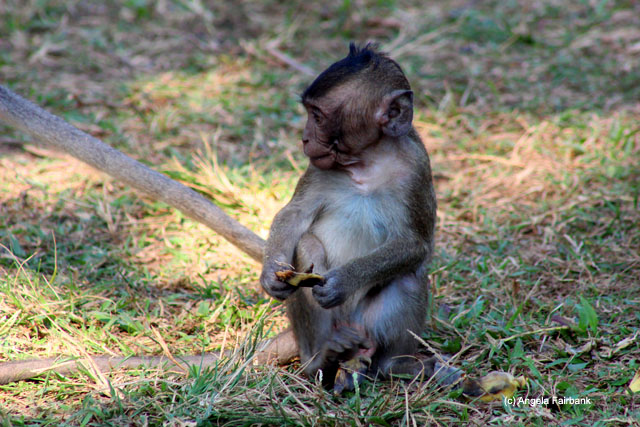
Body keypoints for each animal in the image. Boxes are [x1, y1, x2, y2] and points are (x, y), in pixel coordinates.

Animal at [260, 43, 460, 391]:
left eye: (318, 116)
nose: (304, 138)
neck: (367, 162)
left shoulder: (417, 169)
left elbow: (415, 244)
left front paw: (344, 281)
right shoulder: (318, 167)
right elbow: (294, 216)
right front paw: (271, 272)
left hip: (368, 325)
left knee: (409, 276)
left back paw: (394, 365)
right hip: (332, 325)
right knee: (306, 247)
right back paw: (320, 360)